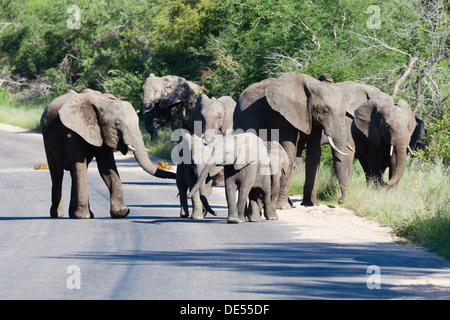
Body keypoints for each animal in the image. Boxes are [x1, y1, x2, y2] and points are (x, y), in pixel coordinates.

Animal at [40, 88, 176, 218]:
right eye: (117, 124)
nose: (175, 176)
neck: (102, 102)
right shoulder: (71, 131)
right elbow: (79, 165)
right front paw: (84, 216)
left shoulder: (102, 131)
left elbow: (106, 167)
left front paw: (121, 212)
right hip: (47, 141)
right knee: (58, 174)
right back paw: (59, 214)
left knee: (75, 173)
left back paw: (78, 214)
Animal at [234, 72, 350, 208]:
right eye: (324, 110)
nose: (340, 201)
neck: (312, 85)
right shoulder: (284, 116)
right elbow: (289, 151)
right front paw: (282, 207)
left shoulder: (311, 119)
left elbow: (314, 154)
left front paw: (311, 205)